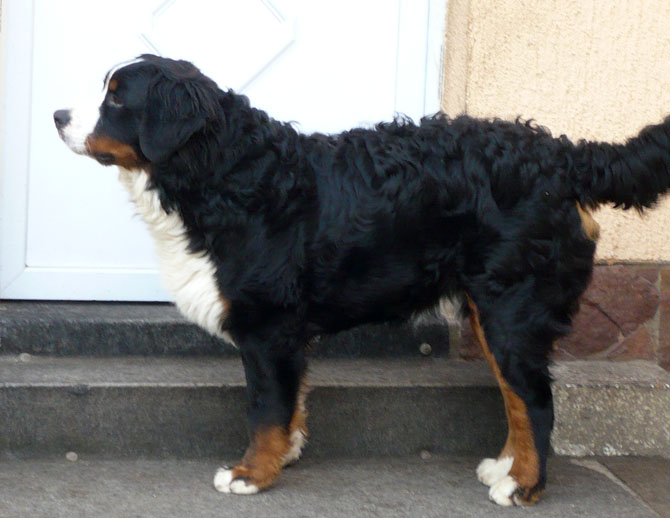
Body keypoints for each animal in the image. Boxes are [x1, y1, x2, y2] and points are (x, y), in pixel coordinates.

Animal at [54, 54, 670, 506]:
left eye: (116, 97)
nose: (58, 115)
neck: (223, 175)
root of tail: (561, 156)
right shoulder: (287, 335)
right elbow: (289, 405)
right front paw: (285, 452)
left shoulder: (269, 329)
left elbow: (265, 409)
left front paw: (252, 473)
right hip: (489, 310)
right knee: (517, 399)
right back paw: (506, 467)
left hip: (511, 311)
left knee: (536, 401)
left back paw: (525, 486)